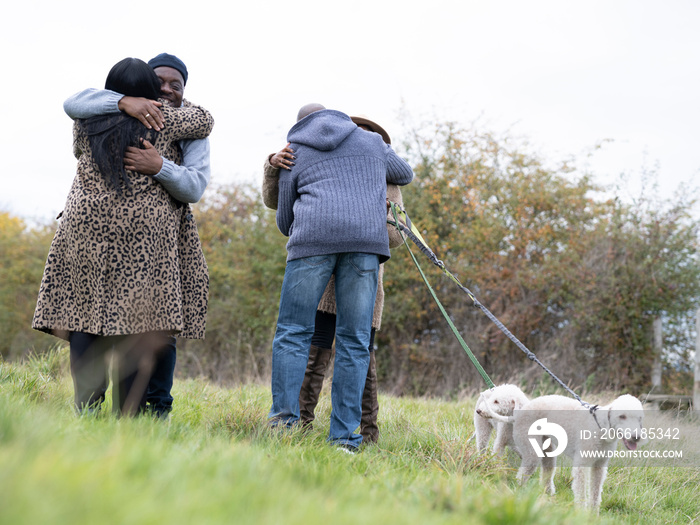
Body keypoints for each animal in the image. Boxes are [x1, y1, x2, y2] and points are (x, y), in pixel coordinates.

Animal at [512, 392, 644, 512]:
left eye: (640, 418)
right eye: (622, 416)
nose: (636, 437)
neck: (600, 428)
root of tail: (524, 407)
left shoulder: (599, 465)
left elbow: (596, 490)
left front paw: (593, 514)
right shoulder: (582, 464)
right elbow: (581, 488)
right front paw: (581, 512)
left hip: (547, 449)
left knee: (547, 471)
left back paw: (548, 494)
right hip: (531, 447)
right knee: (522, 474)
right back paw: (520, 492)